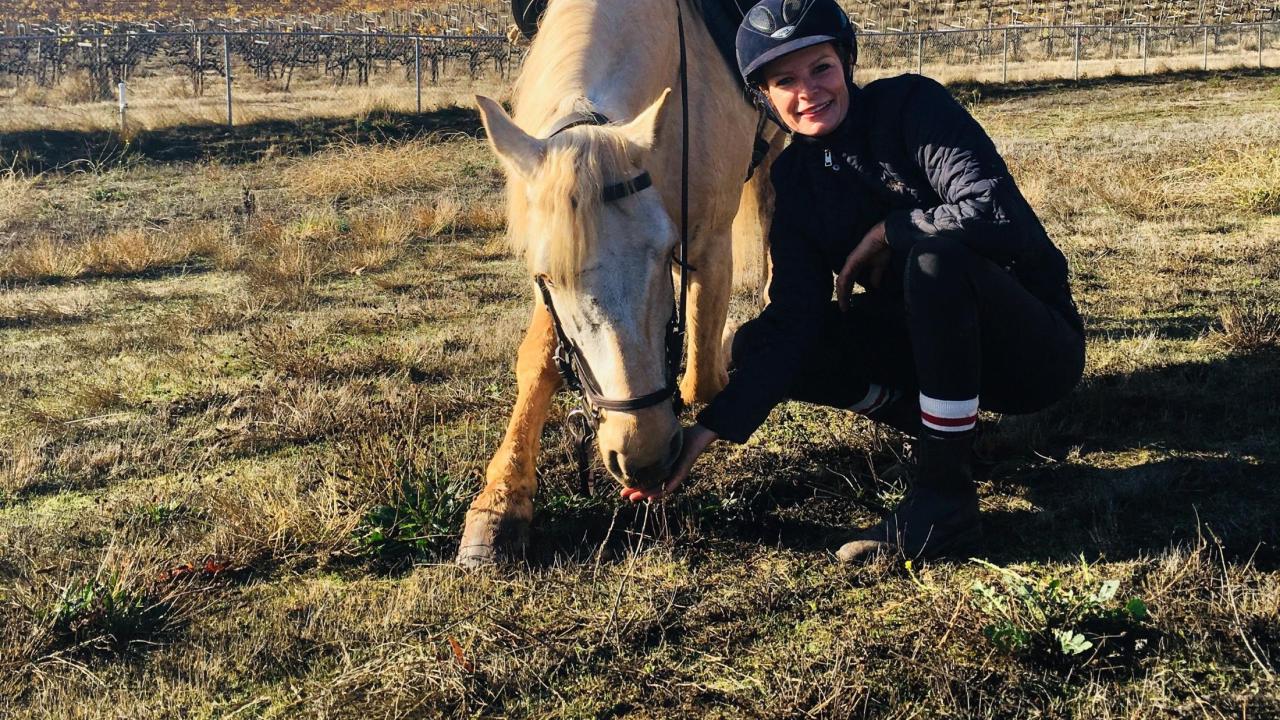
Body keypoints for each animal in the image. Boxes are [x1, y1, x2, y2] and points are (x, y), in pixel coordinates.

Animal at [458, 0, 776, 566]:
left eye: (663, 249)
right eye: (544, 274)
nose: (642, 454)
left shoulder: (708, 242)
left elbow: (701, 377)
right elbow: (538, 361)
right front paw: (500, 502)